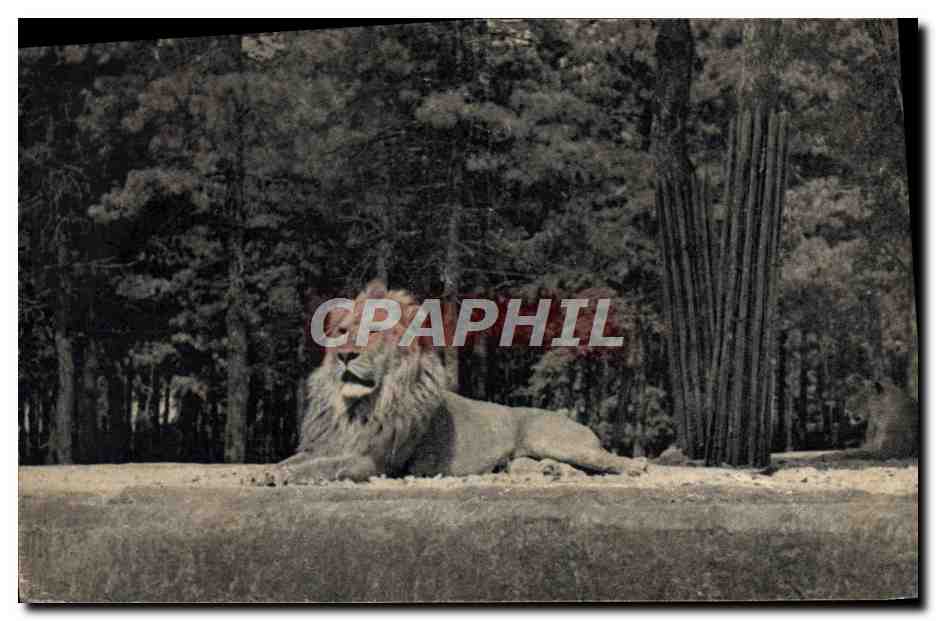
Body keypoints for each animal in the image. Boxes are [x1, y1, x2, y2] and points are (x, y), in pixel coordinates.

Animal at [276, 280, 647, 484]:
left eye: (374, 332)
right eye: (341, 331)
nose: (345, 355)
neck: (357, 408)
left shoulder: (376, 461)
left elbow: (329, 465)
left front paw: (283, 476)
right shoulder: (323, 445)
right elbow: (297, 459)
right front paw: (276, 469)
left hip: (557, 440)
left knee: (610, 460)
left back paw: (636, 466)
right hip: (521, 460)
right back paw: (551, 473)